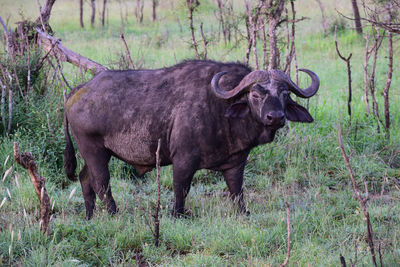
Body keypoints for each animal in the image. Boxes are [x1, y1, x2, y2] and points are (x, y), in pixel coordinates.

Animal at [64, 60, 320, 220]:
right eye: (255, 95)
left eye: (285, 94)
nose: (275, 117)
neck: (220, 109)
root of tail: (77, 92)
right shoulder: (184, 161)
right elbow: (181, 189)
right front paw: (178, 215)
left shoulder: (236, 164)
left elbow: (237, 191)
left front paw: (243, 213)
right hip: (94, 150)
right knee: (101, 183)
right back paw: (114, 214)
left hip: (95, 154)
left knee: (85, 178)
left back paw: (90, 216)